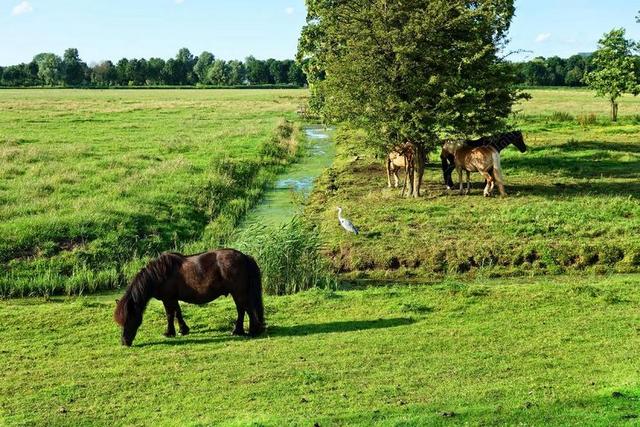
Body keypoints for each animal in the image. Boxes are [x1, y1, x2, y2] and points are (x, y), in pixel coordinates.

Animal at [114, 251, 264, 348]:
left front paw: (169, 333)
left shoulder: (168, 299)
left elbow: (170, 315)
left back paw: (251, 331)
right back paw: (239, 330)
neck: (159, 274)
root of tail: (245, 257)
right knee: (243, 310)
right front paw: (183, 330)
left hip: (238, 293)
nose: (124, 342)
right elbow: (178, 313)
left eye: (129, 319)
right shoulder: (173, 299)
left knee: (246, 310)